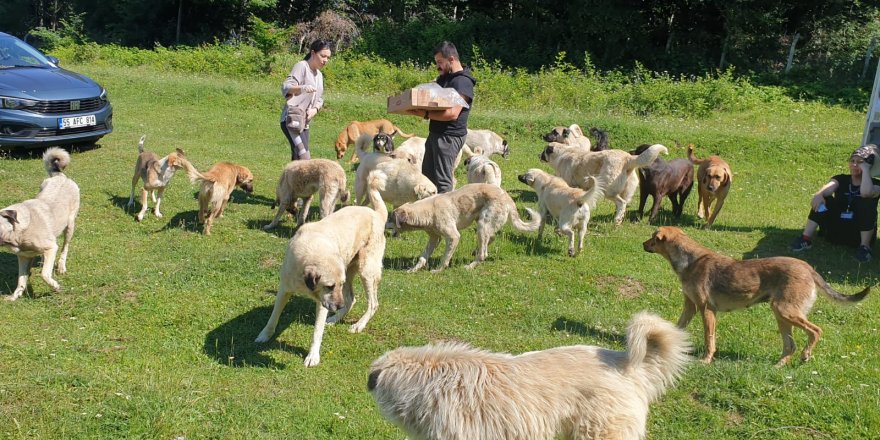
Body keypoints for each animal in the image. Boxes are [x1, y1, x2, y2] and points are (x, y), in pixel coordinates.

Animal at [0, 148, 79, 300]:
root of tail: (60, 175)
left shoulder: (51, 248)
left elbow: (44, 275)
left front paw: (56, 287)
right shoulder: (23, 257)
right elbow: (21, 280)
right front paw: (15, 296)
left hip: (70, 226)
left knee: (65, 248)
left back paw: (61, 266)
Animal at [390, 182, 540, 272]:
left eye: (391, 218)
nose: (385, 223)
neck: (428, 210)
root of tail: (509, 199)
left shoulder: (453, 237)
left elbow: (445, 258)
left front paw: (438, 270)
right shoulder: (434, 238)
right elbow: (423, 257)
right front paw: (413, 270)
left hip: (483, 224)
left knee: (483, 254)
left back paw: (469, 266)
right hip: (483, 225)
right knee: (490, 240)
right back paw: (476, 251)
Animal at [536, 143, 668, 225]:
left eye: (544, 150)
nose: (538, 155)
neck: (563, 153)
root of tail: (628, 158)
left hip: (608, 190)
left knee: (621, 203)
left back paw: (617, 220)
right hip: (625, 191)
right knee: (623, 205)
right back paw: (618, 219)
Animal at [644, 225, 868, 366]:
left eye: (652, 238)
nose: (642, 244)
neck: (690, 261)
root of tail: (808, 268)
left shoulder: (707, 309)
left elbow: (709, 339)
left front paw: (706, 360)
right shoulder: (690, 307)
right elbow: (677, 327)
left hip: (785, 311)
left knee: (815, 331)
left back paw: (805, 356)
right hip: (781, 314)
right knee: (790, 345)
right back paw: (779, 365)